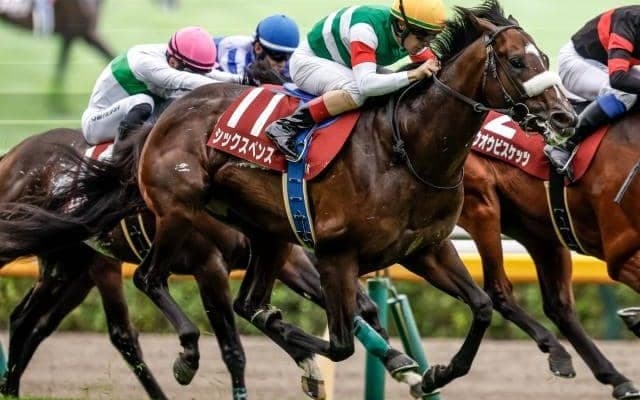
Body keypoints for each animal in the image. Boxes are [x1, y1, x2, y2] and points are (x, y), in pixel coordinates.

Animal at [0, 127, 422, 400]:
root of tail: (13, 155)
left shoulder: (286, 255)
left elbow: (355, 310)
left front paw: (403, 367)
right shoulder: (209, 264)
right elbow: (234, 348)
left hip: (71, 267)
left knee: (30, 322)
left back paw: (12, 388)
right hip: (88, 264)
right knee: (109, 331)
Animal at [453, 111, 640, 399]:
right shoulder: (624, 254)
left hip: (542, 231)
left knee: (558, 306)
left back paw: (615, 377)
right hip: (482, 205)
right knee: (499, 291)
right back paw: (558, 351)